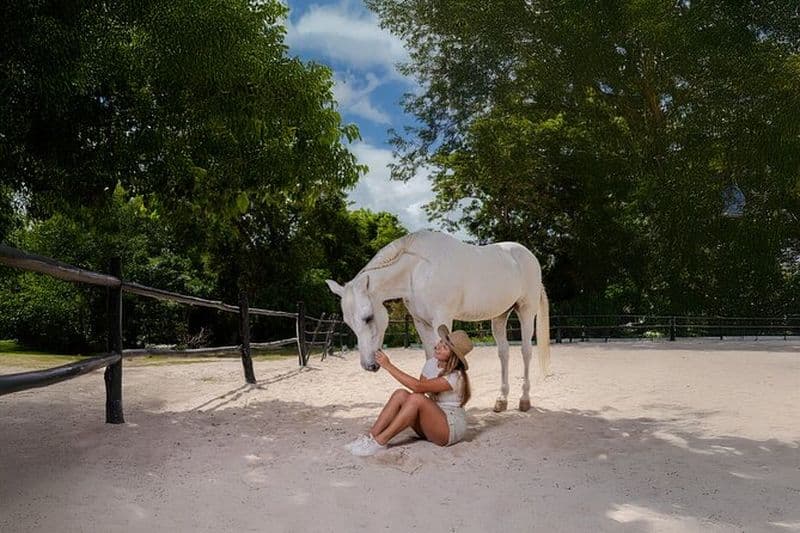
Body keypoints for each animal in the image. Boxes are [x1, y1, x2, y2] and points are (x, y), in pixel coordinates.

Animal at [325, 230, 550, 412]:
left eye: (368, 317)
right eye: (348, 323)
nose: (369, 365)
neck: (417, 270)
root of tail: (528, 256)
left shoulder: (442, 319)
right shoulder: (420, 322)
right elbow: (430, 358)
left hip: (526, 311)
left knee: (526, 351)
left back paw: (524, 400)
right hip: (500, 316)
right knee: (504, 353)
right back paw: (502, 400)